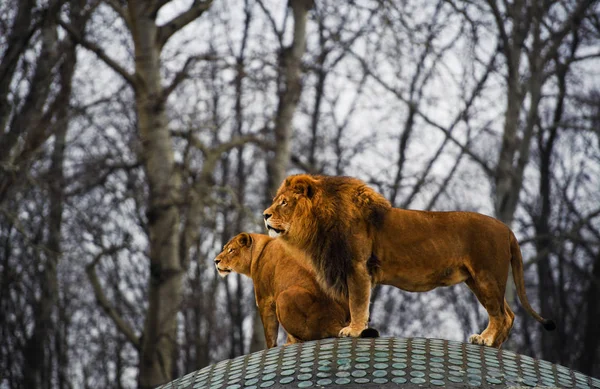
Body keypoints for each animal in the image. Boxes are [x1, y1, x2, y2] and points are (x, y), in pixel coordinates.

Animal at [213, 232, 378, 348]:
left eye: (231, 250)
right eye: (224, 249)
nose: (216, 261)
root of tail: (331, 319)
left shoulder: (265, 299)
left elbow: (269, 331)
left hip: (283, 297)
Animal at [264, 174, 556, 348]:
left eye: (284, 203)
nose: (265, 214)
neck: (320, 222)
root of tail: (507, 230)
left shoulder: (357, 268)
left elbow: (357, 303)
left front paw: (354, 330)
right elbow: (351, 304)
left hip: (487, 277)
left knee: (501, 315)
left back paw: (485, 340)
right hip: (478, 280)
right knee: (509, 314)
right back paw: (493, 344)